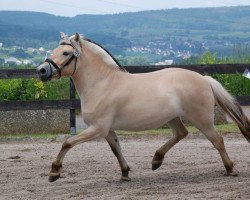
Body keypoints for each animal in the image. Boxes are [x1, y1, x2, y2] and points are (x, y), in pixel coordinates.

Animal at [36, 32, 249, 183]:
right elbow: (116, 149)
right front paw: (125, 173)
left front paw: (54, 172)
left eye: (66, 53)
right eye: (53, 51)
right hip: (173, 118)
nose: (42, 71)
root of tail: (204, 79)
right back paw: (156, 160)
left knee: (217, 140)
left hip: (202, 119)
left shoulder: (97, 128)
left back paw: (230, 169)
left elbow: (67, 143)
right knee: (181, 133)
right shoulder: (107, 130)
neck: (102, 83)